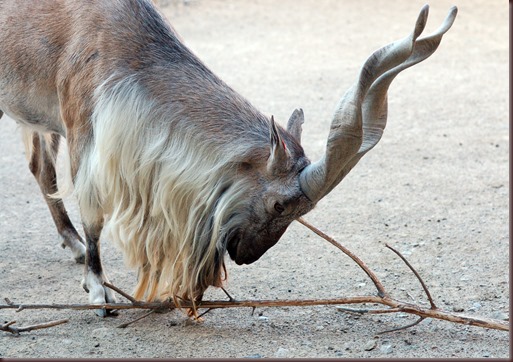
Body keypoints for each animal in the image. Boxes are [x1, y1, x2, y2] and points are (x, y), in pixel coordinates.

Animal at [0, 0, 456, 316]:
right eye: (279, 204)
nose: (245, 254)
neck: (120, 44)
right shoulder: (82, 131)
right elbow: (93, 216)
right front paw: (99, 291)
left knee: (40, 170)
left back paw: (72, 244)